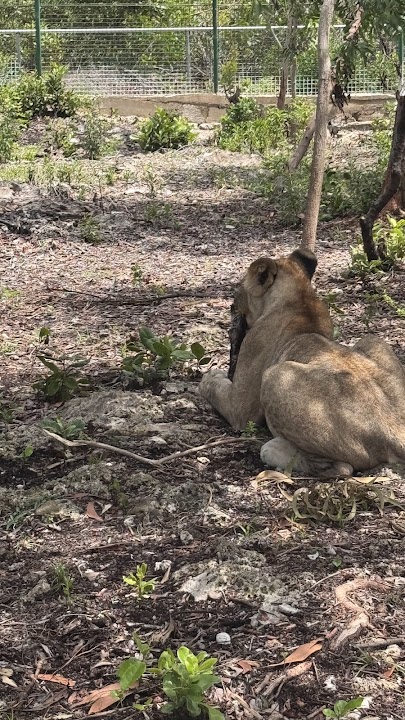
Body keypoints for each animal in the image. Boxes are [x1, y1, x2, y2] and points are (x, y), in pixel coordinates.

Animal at [199, 247, 405, 477]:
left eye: (238, 289)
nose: (231, 307)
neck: (299, 295)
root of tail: (396, 430)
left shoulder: (241, 408)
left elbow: (213, 389)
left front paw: (210, 376)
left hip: (276, 375)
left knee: (342, 468)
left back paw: (273, 449)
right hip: (373, 340)